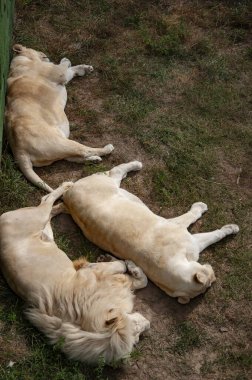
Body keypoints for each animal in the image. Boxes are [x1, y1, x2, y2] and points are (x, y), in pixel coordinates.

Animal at [5, 45, 113, 191]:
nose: (44, 53)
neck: (24, 60)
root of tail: (18, 150)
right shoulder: (59, 73)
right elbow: (66, 67)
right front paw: (67, 60)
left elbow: (72, 70)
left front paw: (84, 68)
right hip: (61, 143)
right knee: (84, 150)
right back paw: (106, 149)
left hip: (59, 147)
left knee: (75, 157)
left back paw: (94, 159)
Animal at [62, 162, 239, 304]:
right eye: (210, 275)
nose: (214, 274)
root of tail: (67, 197)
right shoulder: (183, 231)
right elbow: (208, 229)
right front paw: (228, 225)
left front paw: (112, 260)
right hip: (108, 183)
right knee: (115, 171)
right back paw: (136, 164)